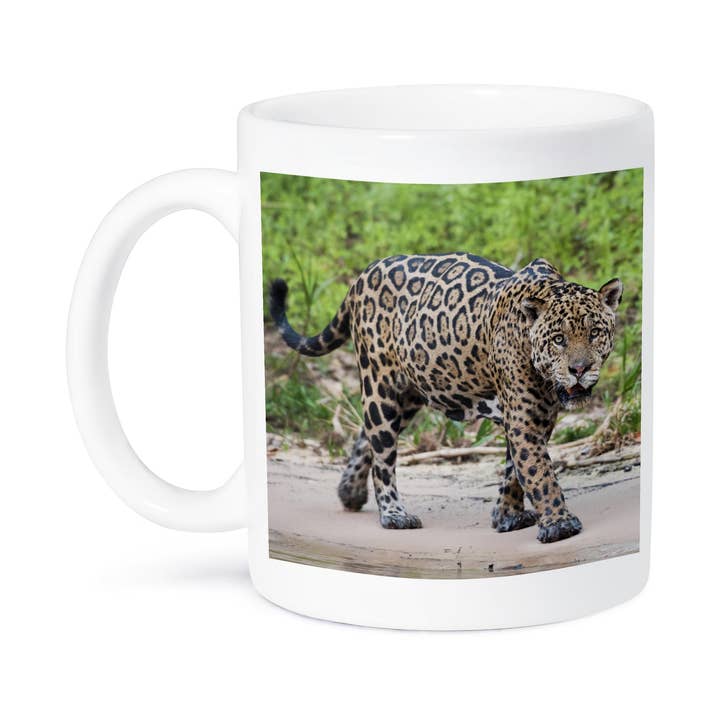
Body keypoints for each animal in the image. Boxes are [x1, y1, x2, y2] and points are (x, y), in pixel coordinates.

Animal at [269, 253, 622, 543]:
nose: (579, 369)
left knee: (365, 436)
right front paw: (558, 524)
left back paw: (350, 491)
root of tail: (363, 275)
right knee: (382, 456)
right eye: (559, 339)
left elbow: (515, 471)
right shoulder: (524, 420)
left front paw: (506, 515)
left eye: (594, 333)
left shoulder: (536, 417)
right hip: (380, 385)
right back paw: (393, 515)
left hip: (409, 394)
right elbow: (538, 472)